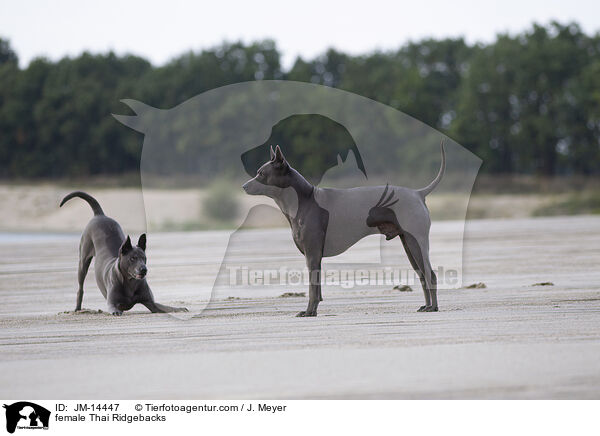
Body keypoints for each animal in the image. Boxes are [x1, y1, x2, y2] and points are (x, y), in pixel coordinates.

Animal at [60, 192, 188, 316]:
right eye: (132, 258)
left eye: (144, 258)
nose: (144, 269)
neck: (130, 282)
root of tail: (100, 215)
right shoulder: (112, 303)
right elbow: (115, 308)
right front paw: (117, 312)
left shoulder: (152, 303)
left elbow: (166, 308)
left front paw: (180, 309)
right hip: (83, 259)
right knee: (80, 286)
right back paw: (78, 309)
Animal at [244, 143, 446, 316]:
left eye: (261, 173)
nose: (244, 185)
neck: (305, 200)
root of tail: (418, 193)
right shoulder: (316, 257)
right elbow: (317, 289)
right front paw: (313, 311)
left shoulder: (312, 253)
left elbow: (312, 288)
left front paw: (308, 312)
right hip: (408, 244)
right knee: (422, 276)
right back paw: (426, 306)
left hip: (416, 242)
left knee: (431, 275)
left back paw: (433, 307)